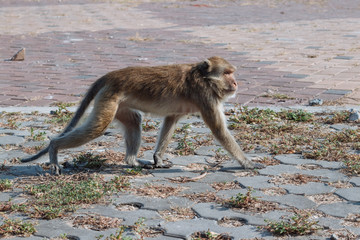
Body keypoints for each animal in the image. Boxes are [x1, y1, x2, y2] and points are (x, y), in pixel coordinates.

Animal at [22, 56, 262, 173]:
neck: (204, 78)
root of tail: (109, 76)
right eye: (228, 73)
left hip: (119, 105)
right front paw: (247, 163)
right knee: (97, 127)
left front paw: (158, 158)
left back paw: (132, 161)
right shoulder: (206, 97)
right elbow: (220, 131)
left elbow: (171, 119)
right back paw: (54, 148)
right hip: (109, 100)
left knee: (133, 121)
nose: (236, 83)